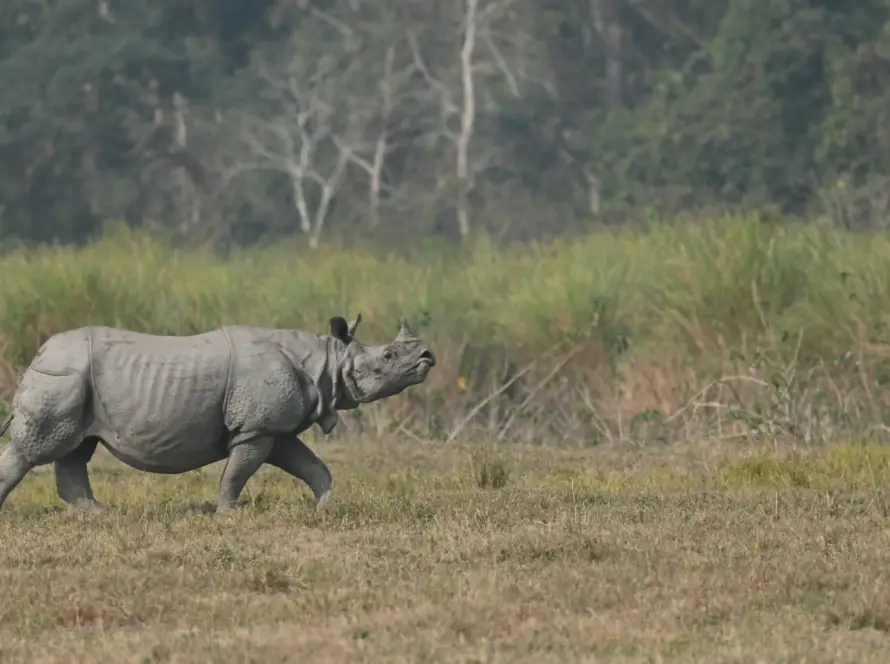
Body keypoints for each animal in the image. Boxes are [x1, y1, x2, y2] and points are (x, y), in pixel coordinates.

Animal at [0, 314, 435, 514]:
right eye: (388, 357)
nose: (428, 356)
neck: (327, 359)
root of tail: (38, 354)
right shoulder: (255, 427)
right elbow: (239, 471)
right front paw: (229, 512)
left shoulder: (271, 426)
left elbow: (310, 464)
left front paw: (325, 506)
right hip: (63, 375)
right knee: (34, 450)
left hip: (75, 381)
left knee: (76, 448)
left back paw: (97, 514)